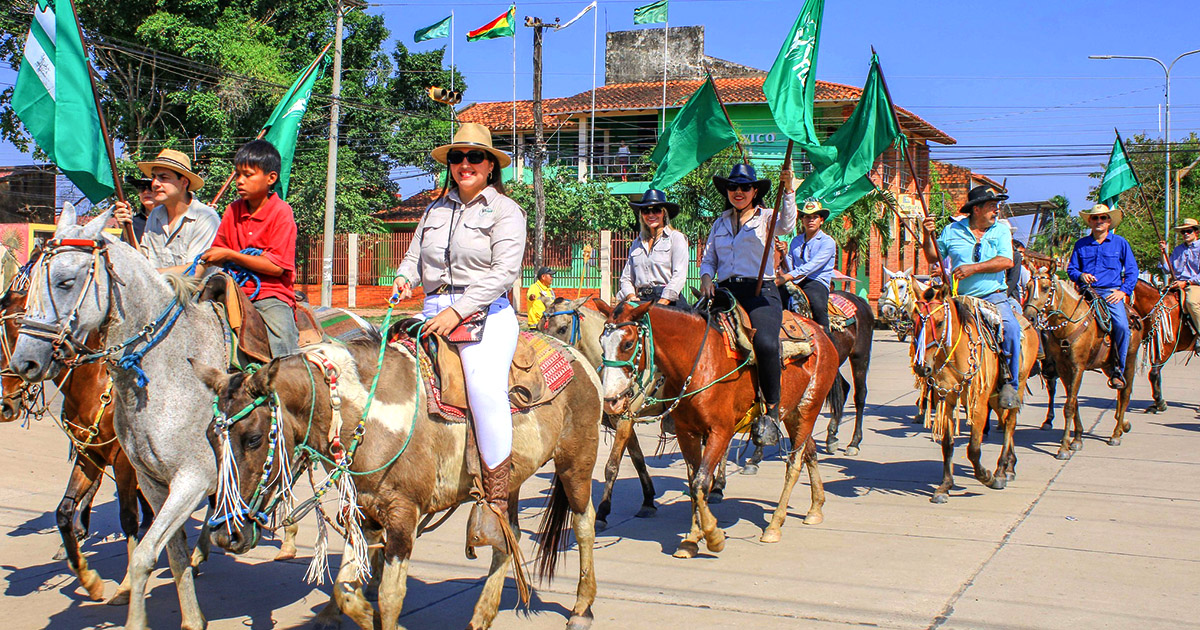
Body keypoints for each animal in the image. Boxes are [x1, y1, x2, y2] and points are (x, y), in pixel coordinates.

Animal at [194, 336, 600, 628]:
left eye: (253, 439)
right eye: (210, 437)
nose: (225, 535)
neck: (371, 417)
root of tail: (576, 356)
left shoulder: (404, 516)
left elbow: (391, 599)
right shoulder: (364, 513)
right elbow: (346, 590)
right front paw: (357, 612)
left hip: (575, 464)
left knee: (584, 525)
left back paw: (581, 608)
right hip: (508, 481)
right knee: (506, 534)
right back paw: (482, 615)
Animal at [595, 300, 840, 554]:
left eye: (628, 343)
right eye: (601, 342)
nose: (611, 401)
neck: (699, 362)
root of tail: (820, 333)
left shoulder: (720, 432)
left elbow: (701, 481)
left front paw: (713, 535)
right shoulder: (686, 432)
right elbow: (694, 481)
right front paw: (692, 538)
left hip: (808, 409)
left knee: (794, 465)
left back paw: (774, 525)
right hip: (794, 414)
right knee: (809, 452)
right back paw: (815, 507)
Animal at [907, 282, 1041, 504]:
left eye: (940, 322)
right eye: (914, 321)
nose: (921, 368)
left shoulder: (978, 403)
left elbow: (973, 448)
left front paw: (987, 477)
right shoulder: (947, 398)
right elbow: (948, 444)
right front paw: (945, 487)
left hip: (1018, 386)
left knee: (1010, 423)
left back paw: (1002, 470)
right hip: (994, 397)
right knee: (1004, 420)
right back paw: (1010, 465)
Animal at [1022, 267, 1142, 453]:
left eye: (1045, 287)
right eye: (1027, 287)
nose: (1029, 317)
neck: (1068, 325)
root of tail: (1133, 314)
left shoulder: (1077, 366)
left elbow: (1069, 405)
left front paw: (1064, 447)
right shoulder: (1063, 368)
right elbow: (1073, 401)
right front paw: (1077, 438)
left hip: (1128, 359)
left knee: (1126, 393)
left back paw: (1116, 434)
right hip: (1109, 365)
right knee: (1120, 390)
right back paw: (1122, 426)